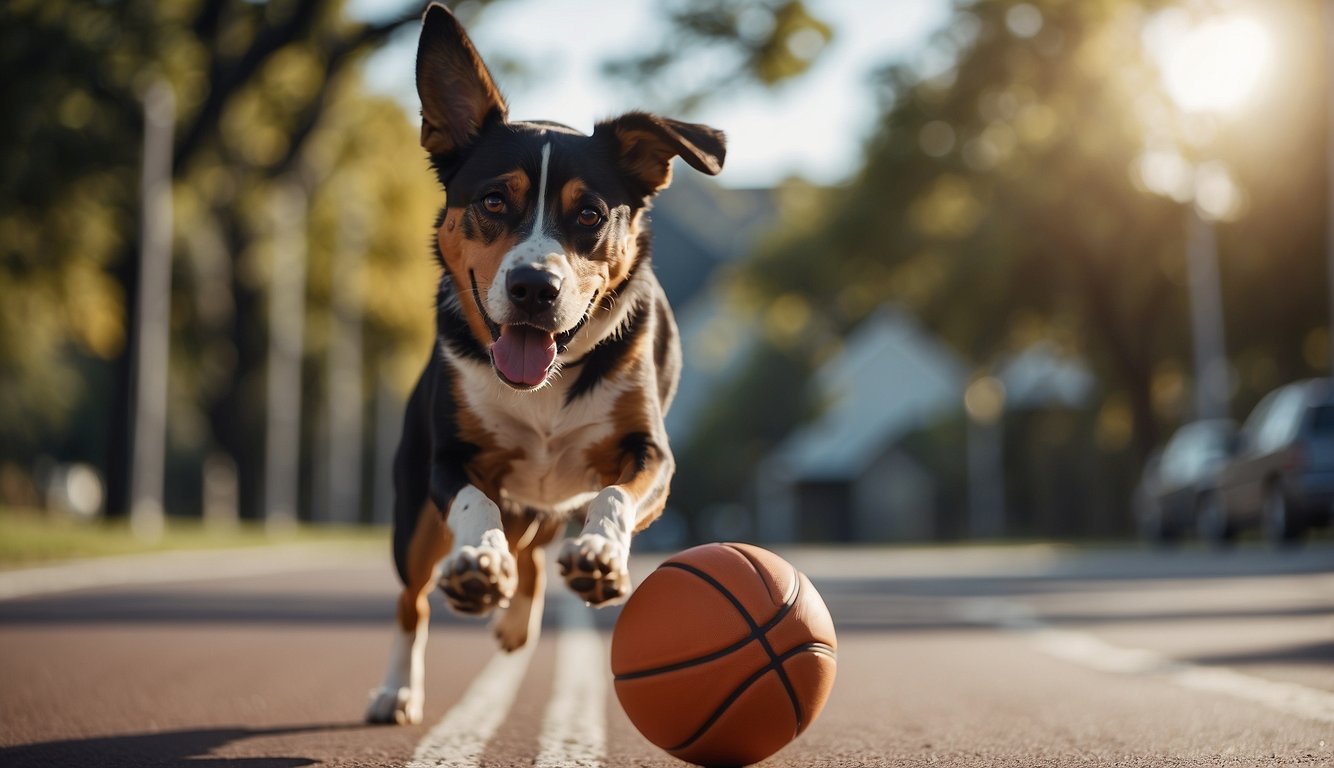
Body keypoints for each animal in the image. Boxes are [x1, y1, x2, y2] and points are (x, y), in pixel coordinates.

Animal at [365, 4, 731, 725]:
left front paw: (597, 556)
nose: (535, 286)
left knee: (535, 549)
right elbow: (474, 503)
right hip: (410, 513)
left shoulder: (651, 454)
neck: (545, 384)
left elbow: (614, 497)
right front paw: (478, 564)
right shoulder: (447, 461)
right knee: (410, 599)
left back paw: (518, 618)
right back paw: (399, 686)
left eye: (588, 213)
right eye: (492, 202)